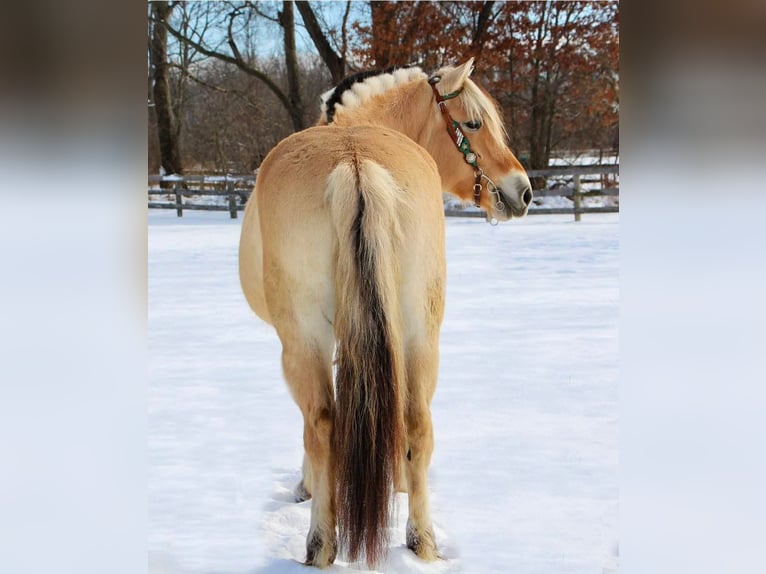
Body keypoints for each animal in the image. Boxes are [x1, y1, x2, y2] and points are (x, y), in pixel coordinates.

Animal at [240, 58, 536, 572]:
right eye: (474, 124)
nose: (524, 192)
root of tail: (354, 162)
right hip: (420, 331)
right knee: (416, 419)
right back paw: (422, 541)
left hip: (305, 339)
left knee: (322, 421)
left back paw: (322, 543)